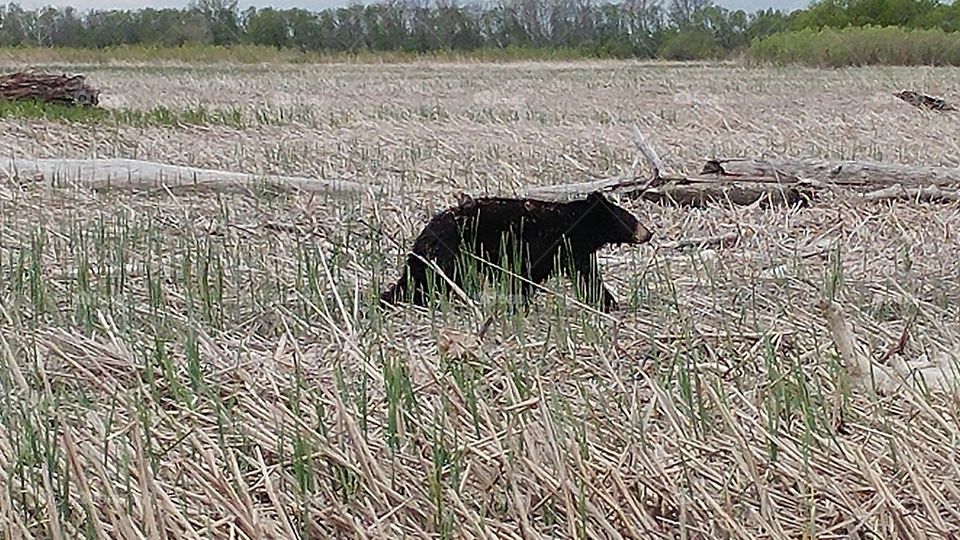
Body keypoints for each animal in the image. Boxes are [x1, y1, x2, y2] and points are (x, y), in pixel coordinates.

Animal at [379, 190, 653, 312]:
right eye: (631, 219)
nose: (649, 233)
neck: (575, 223)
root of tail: (424, 234)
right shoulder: (553, 245)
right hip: (451, 252)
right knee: (432, 279)